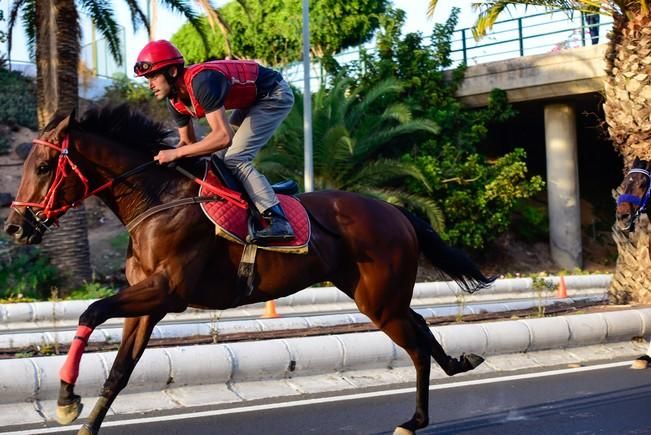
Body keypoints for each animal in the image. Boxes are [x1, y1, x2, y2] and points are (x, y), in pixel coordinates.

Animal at [3, 106, 494, 435]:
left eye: (44, 166)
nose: (15, 227)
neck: (158, 200)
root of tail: (395, 210)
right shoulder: (147, 302)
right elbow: (120, 368)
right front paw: (86, 420)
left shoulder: (167, 292)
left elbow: (91, 312)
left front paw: (66, 400)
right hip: (377, 294)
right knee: (421, 326)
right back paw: (457, 364)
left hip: (379, 300)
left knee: (415, 346)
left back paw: (414, 419)